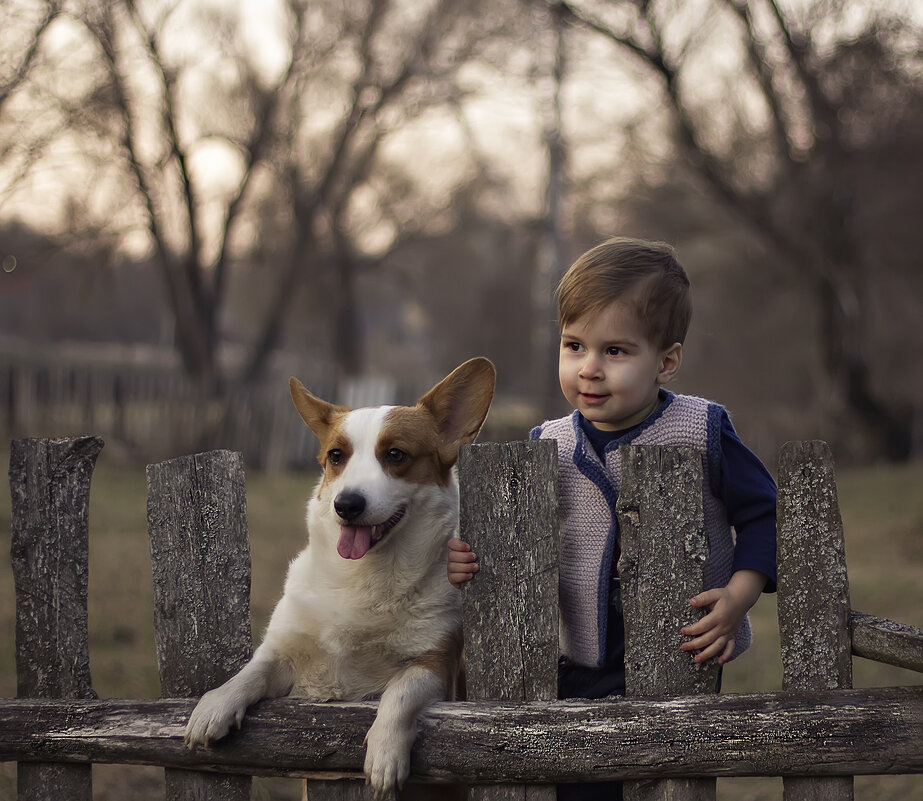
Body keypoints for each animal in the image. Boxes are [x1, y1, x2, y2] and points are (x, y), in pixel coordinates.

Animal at [183, 360, 494, 796]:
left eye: (395, 454)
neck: (368, 575)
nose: (346, 504)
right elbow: (252, 671)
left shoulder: (436, 665)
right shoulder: (287, 657)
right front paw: (214, 705)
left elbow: (399, 692)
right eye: (335, 455)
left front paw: (384, 754)